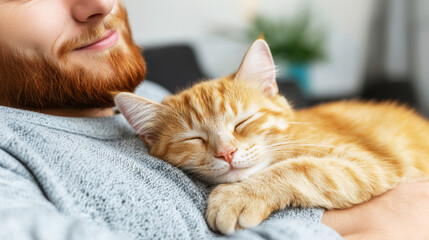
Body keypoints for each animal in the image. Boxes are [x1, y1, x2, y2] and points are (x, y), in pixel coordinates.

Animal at [114, 39, 429, 234]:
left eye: (242, 122)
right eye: (194, 139)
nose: (226, 153)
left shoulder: (372, 164)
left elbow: (299, 168)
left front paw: (238, 197)